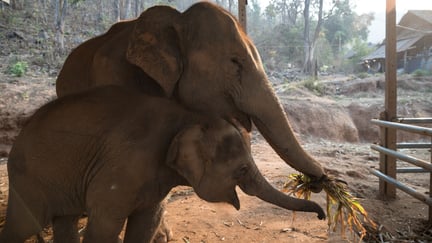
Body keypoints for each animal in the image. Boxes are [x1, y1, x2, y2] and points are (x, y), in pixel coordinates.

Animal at [0, 86, 324, 242]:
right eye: (242, 170)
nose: (321, 214)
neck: (188, 117)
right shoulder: (124, 166)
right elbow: (105, 224)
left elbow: (146, 222)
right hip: (30, 177)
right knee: (22, 227)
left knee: (63, 221)